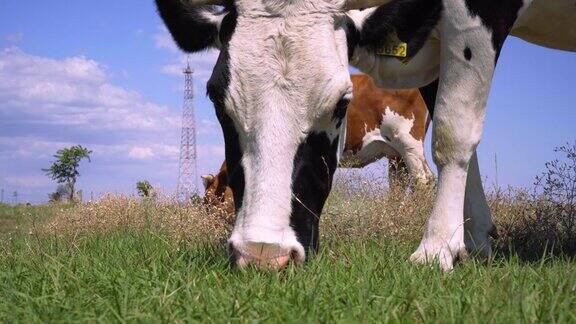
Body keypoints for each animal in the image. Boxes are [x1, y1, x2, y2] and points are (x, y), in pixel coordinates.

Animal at [158, 0, 576, 270]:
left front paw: (437, 249)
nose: (263, 255)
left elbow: (454, 133)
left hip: (406, 141)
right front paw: (473, 242)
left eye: (342, 103)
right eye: (215, 97)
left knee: (423, 173)